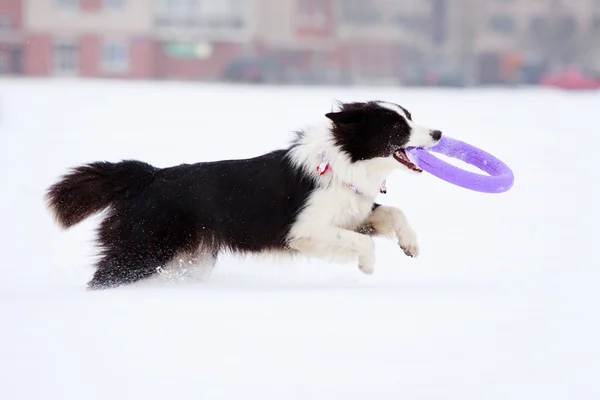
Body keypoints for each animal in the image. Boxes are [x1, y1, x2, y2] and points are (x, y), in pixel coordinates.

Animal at [47, 99, 440, 288]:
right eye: (397, 127)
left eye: (409, 116)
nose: (437, 133)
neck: (345, 161)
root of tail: (149, 175)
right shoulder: (305, 229)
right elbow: (365, 242)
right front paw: (367, 266)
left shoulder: (351, 213)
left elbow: (392, 212)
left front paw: (411, 245)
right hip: (143, 247)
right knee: (104, 278)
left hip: (185, 256)